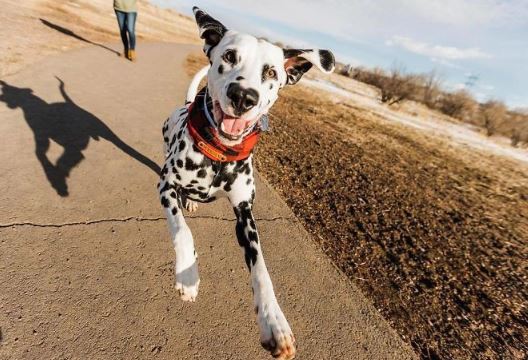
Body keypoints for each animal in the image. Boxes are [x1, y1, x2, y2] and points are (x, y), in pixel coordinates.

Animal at [157, 6, 336, 360]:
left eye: (271, 72)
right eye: (229, 56)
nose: (243, 96)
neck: (218, 155)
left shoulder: (245, 214)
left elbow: (262, 270)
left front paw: (274, 321)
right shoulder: (166, 187)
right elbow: (182, 230)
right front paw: (189, 275)